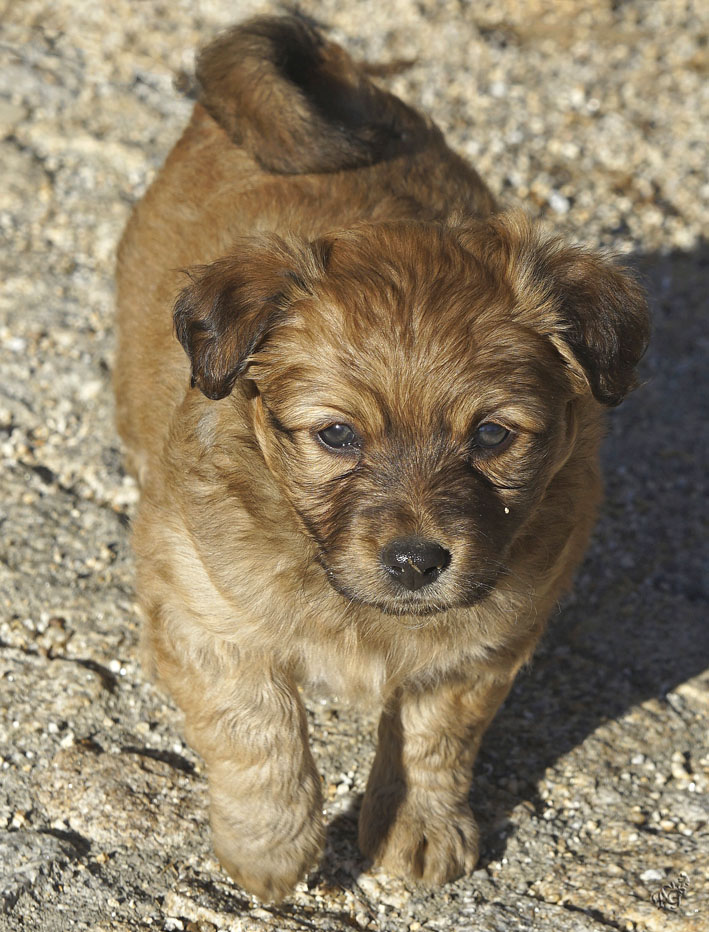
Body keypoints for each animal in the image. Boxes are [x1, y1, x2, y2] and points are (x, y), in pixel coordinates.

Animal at [112, 14, 648, 904]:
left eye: (491, 437)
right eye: (337, 436)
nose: (416, 561)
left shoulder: (481, 641)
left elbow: (435, 736)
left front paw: (417, 831)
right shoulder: (208, 612)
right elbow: (257, 732)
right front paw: (269, 848)